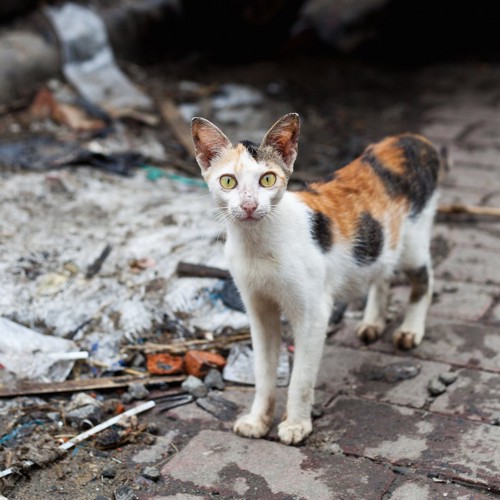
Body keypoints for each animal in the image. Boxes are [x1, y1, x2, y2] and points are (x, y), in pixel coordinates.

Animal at [190, 113, 446, 446]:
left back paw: (410, 330)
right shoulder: (258, 309)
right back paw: (373, 322)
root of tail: (412, 139)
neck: (257, 245)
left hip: (413, 243)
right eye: (228, 181)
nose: (248, 205)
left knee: (425, 278)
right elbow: (263, 372)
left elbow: (301, 377)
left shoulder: (314, 314)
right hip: (381, 244)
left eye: (267, 179)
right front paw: (258, 420)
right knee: (381, 273)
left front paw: (296, 425)